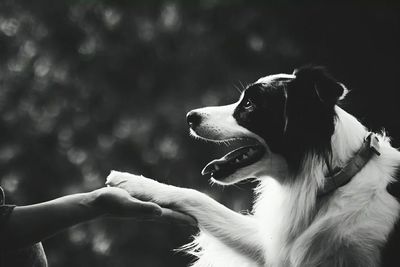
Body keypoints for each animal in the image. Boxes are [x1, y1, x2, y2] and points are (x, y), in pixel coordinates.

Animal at [105, 66, 400, 266]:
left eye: (248, 104)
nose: (190, 117)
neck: (336, 177)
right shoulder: (271, 244)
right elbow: (198, 198)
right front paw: (132, 181)